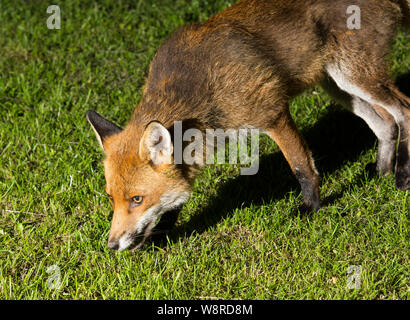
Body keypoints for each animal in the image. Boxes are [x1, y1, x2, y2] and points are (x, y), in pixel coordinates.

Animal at [88, 0, 410, 250]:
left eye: (137, 199)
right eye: (111, 199)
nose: (111, 246)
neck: (200, 91)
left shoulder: (273, 113)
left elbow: (302, 168)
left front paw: (311, 208)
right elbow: (176, 197)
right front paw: (163, 234)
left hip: (357, 76)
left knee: (403, 111)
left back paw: (401, 176)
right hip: (339, 85)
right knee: (385, 124)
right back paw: (381, 172)